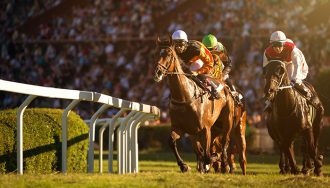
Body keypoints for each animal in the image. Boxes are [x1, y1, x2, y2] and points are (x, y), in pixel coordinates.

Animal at [155, 37, 235, 173]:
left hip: (227, 120)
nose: (158, 73)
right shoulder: (181, 128)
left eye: (169, 54)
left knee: (225, 141)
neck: (185, 96)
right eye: (158, 54)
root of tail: (225, 86)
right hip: (209, 129)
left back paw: (225, 165)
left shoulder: (205, 129)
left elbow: (207, 155)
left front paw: (212, 159)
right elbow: (171, 141)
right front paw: (184, 166)